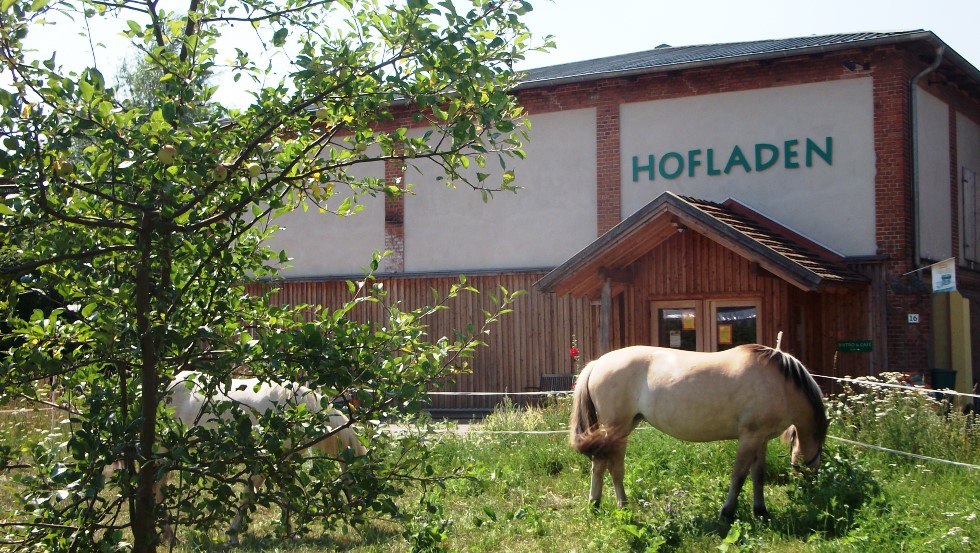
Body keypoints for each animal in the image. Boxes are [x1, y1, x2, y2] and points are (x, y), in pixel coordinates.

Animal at [161, 370, 368, 544]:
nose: (361, 512)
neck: (293, 411)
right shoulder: (263, 461)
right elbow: (248, 496)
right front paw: (233, 536)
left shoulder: (284, 461)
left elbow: (286, 496)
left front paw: (289, 534)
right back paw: (169, 536)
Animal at [568, 342, 828, 520]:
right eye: (818, 456)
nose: (813, 490)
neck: (780, 384)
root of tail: (597, 364)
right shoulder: (750, 437)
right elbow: (739, 475)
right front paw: (727, 512)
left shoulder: (761, 439)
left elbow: (758, 475)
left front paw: (761, 510)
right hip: (618, 428)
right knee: (613, 467)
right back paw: (620, 504)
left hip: (622, 428)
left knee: (600, 463)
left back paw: (596, 504)